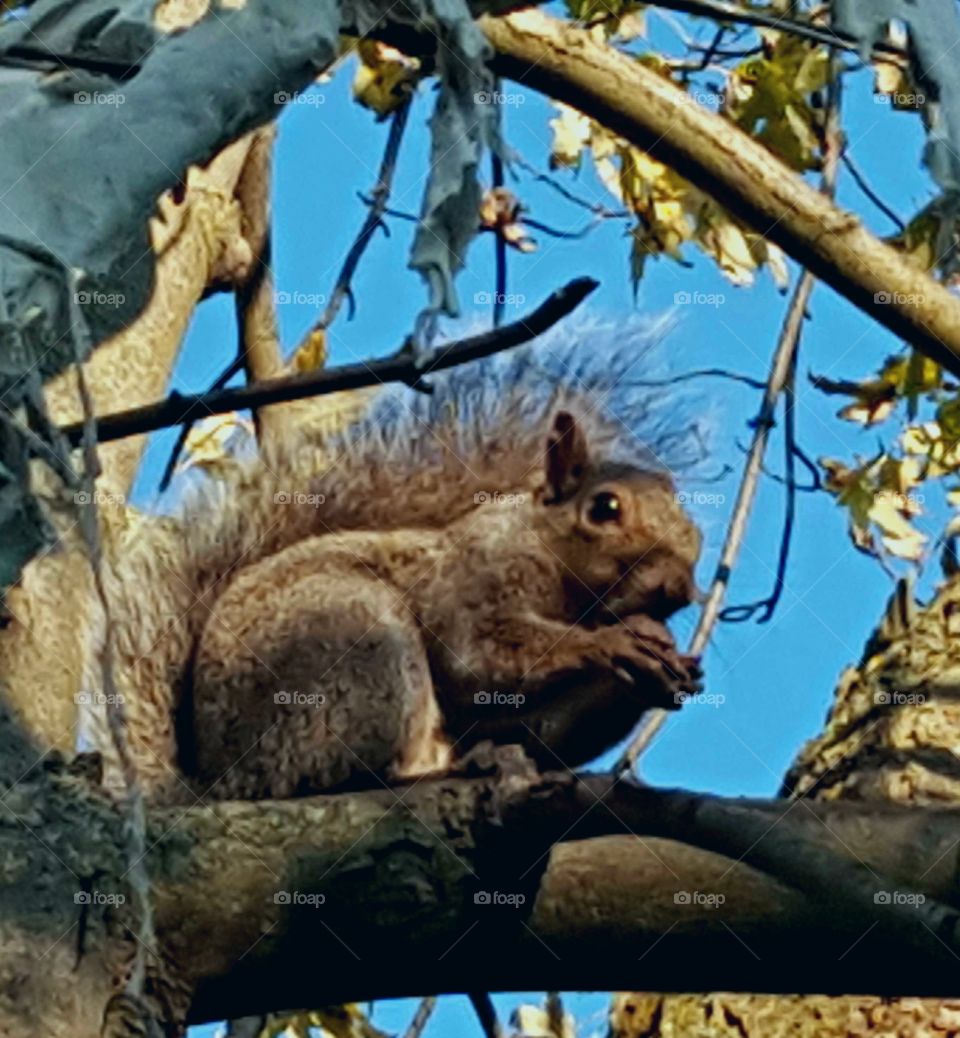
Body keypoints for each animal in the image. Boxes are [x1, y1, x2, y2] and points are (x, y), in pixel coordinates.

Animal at [77, 319, 703, 803]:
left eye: (694, 530)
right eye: (605, 507)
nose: (678, 586)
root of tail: (226, 783)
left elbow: (539, 729)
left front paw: (660, 660)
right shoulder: (472, 584)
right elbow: (480, 660)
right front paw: (616, 643)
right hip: (355, 640)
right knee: (333, 775)